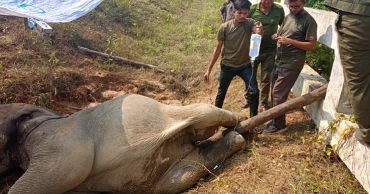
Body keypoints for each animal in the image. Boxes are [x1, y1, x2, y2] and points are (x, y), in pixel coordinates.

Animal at [0, 94, 246, 194]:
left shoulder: (57, 138)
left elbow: (71, 167)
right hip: (166, 175)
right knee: (183, 175)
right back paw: (236, 137)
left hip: (171, 111)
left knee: (203, 114)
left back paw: (239, 121)